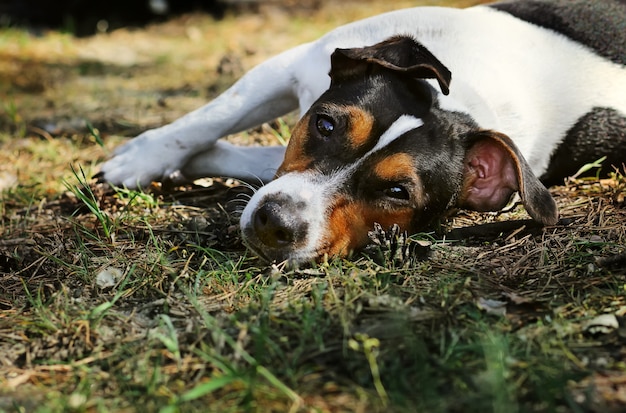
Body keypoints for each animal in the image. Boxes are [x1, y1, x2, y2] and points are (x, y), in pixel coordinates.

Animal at [96, 0, 624, 264]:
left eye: (397, 192)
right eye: (325, 124)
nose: (275, 222)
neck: (462, 95)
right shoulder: (287, 66)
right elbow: (210, 118)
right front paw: (140, 159)